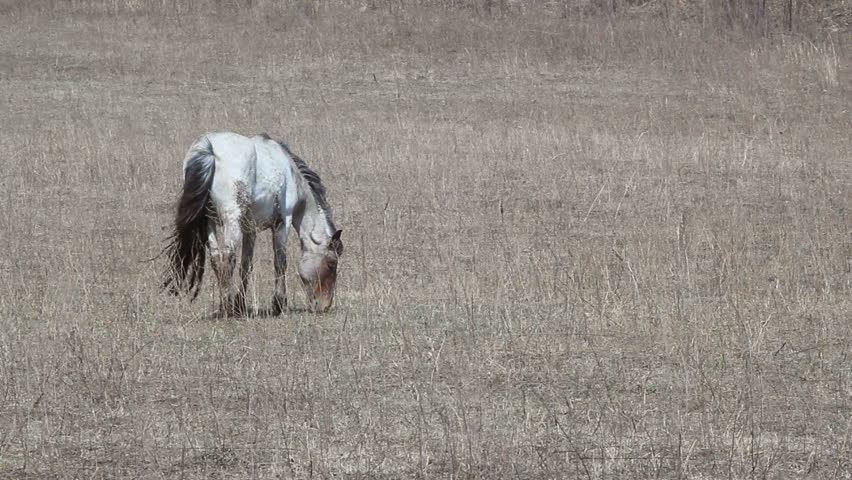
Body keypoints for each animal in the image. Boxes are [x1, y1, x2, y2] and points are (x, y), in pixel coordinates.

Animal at [161, 132, 343, 316]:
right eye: (331, 264)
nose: (325, 305)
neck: (291, 173)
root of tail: (209, 147)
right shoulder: (282, 224)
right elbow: (280, 262)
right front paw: (279, 304)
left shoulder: (250, 229)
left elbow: (246, 265)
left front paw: (240, 305)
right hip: (231, 222)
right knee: (228, 258)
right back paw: (227, 307)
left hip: (209, 223)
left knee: (216, 258)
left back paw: (225, 305)